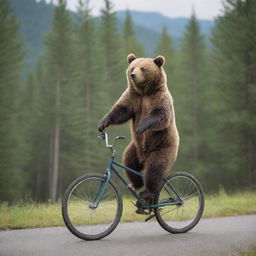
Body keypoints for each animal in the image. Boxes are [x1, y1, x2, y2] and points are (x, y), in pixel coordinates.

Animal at [98, 53, 180, 200]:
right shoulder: (133, 98)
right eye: (132, 67)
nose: (133, 75)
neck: (144, 92)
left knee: (155, 167)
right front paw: (102, 123)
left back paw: (148, 191)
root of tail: (144, 157)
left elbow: (160, 115)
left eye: (143, 68)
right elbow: (120, 110)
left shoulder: (159, 98)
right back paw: (136, 184)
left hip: (163, 145)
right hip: (136, 148)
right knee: (129, 161)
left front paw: (141, 126)